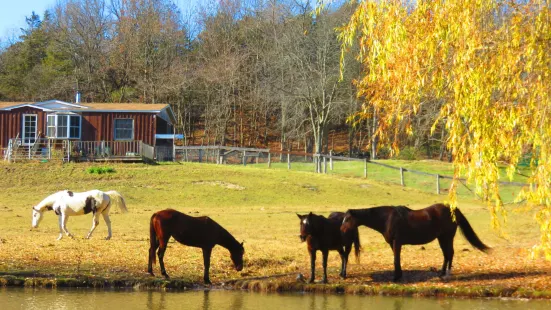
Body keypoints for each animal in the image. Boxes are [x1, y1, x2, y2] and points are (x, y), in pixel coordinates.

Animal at [340, 205, 492, 282]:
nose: (341, 230)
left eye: (348, 219)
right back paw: (442, 272)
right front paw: (399, 275)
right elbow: (397, 259)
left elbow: (396, 259)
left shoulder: (397, 242)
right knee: (446, 254)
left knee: (449, 253)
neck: (387, 218)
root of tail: (454, 210)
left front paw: (396, 277)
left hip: (447, 237)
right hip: (442, 238)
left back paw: (447, 274)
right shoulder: (393, 243)